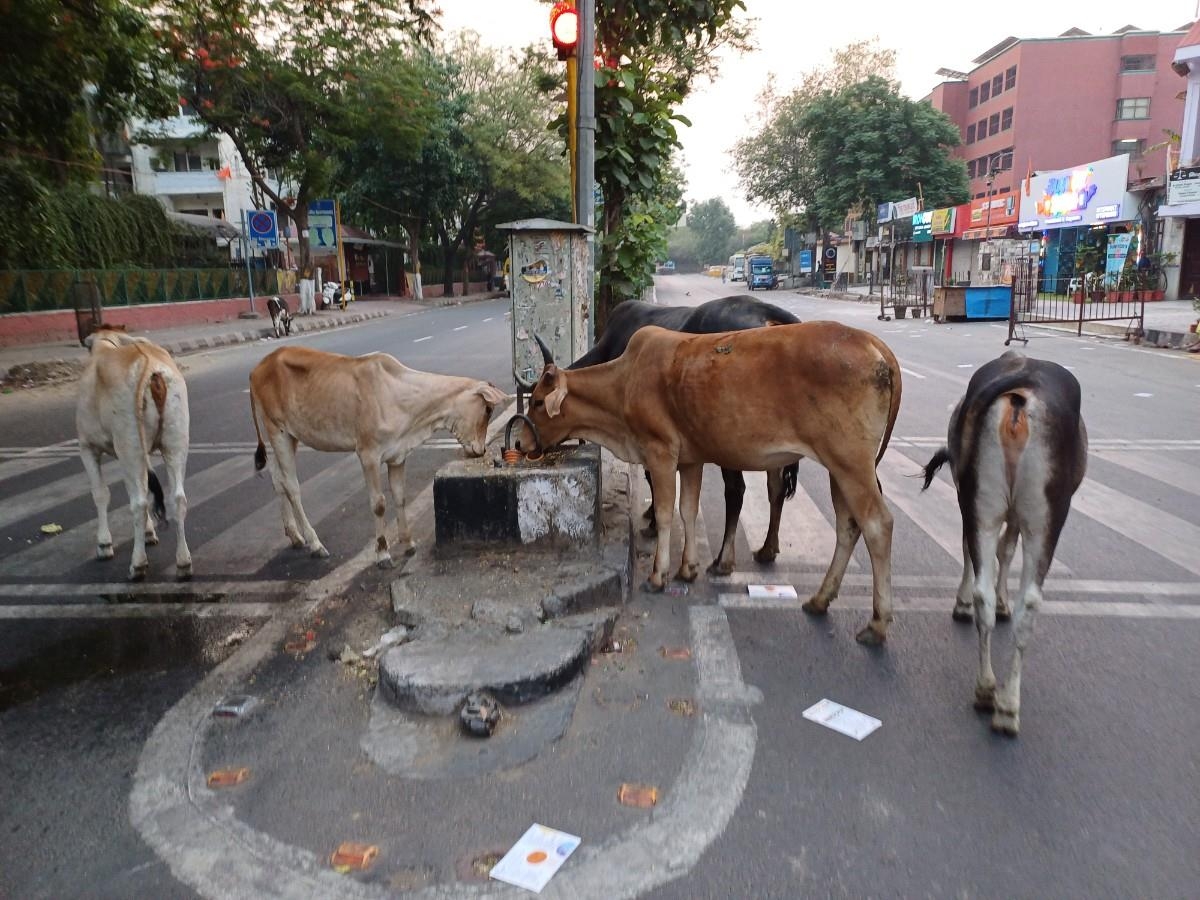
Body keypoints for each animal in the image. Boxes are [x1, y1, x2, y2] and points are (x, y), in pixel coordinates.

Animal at [76, 328, 190, 578]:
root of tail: (151, 367)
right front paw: (148, 533)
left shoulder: (87, 446)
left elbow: (100, 494)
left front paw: (104, 544)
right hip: (175, 442)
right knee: (177, 498)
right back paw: (184, 562)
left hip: (130, 446)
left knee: (138, 503)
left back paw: (138, 563)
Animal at [246, 348, 508, 566]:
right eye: (487, 409)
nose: (480, 450)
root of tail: (259, 367)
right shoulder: (368, 455)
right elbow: (379, 503)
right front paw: (383, 553)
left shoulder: (397, 456)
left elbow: (400, 497)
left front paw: (408, 542)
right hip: (277, 431)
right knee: (292, 486)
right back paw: (315, 543)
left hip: (288, 437)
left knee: (278, 480)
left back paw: (295, 535)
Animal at [568, 300, 801, 573]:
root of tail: (769, 314)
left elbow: (654, 480)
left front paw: (652, 523)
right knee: (775, 489)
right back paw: (767, 550)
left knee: (736, 491)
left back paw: (723, 560)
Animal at [916, 348, 1089, 734]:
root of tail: (1021, 391)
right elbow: (1004, 552)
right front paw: (994, 602)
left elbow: (990, 552)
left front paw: (977, 602)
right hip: (1046, 516)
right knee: (1029, 601)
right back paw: (1006, 703)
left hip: (984, 500)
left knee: (987, 585)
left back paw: (990, 692)